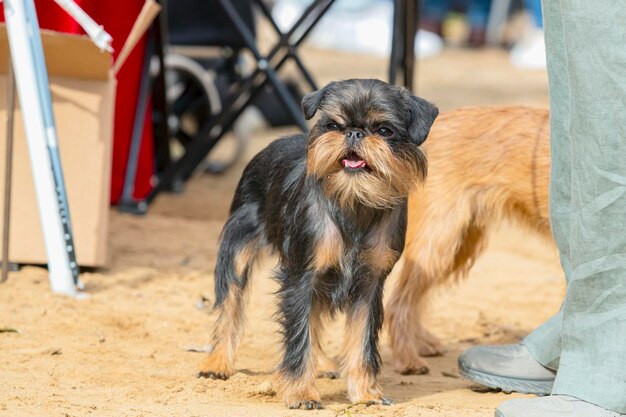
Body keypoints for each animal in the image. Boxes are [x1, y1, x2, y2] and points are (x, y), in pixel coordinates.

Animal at [197, 78, 436, 406]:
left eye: (384, 130)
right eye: (333, 124)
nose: (354, 132)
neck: (353, 201)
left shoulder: (369, 285)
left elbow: (361, 342)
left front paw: (365, 393)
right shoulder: (301, 276)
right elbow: (299, 334)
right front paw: (300, 392)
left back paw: (320, 363)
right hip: (238, 251)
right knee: (230, 305)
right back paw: (217, 362)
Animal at [386, 105, 552, 374]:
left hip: (460, 245)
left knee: (414, 296)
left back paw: (422, 342)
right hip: (439, 240)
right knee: (399, 300)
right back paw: (407, 358)